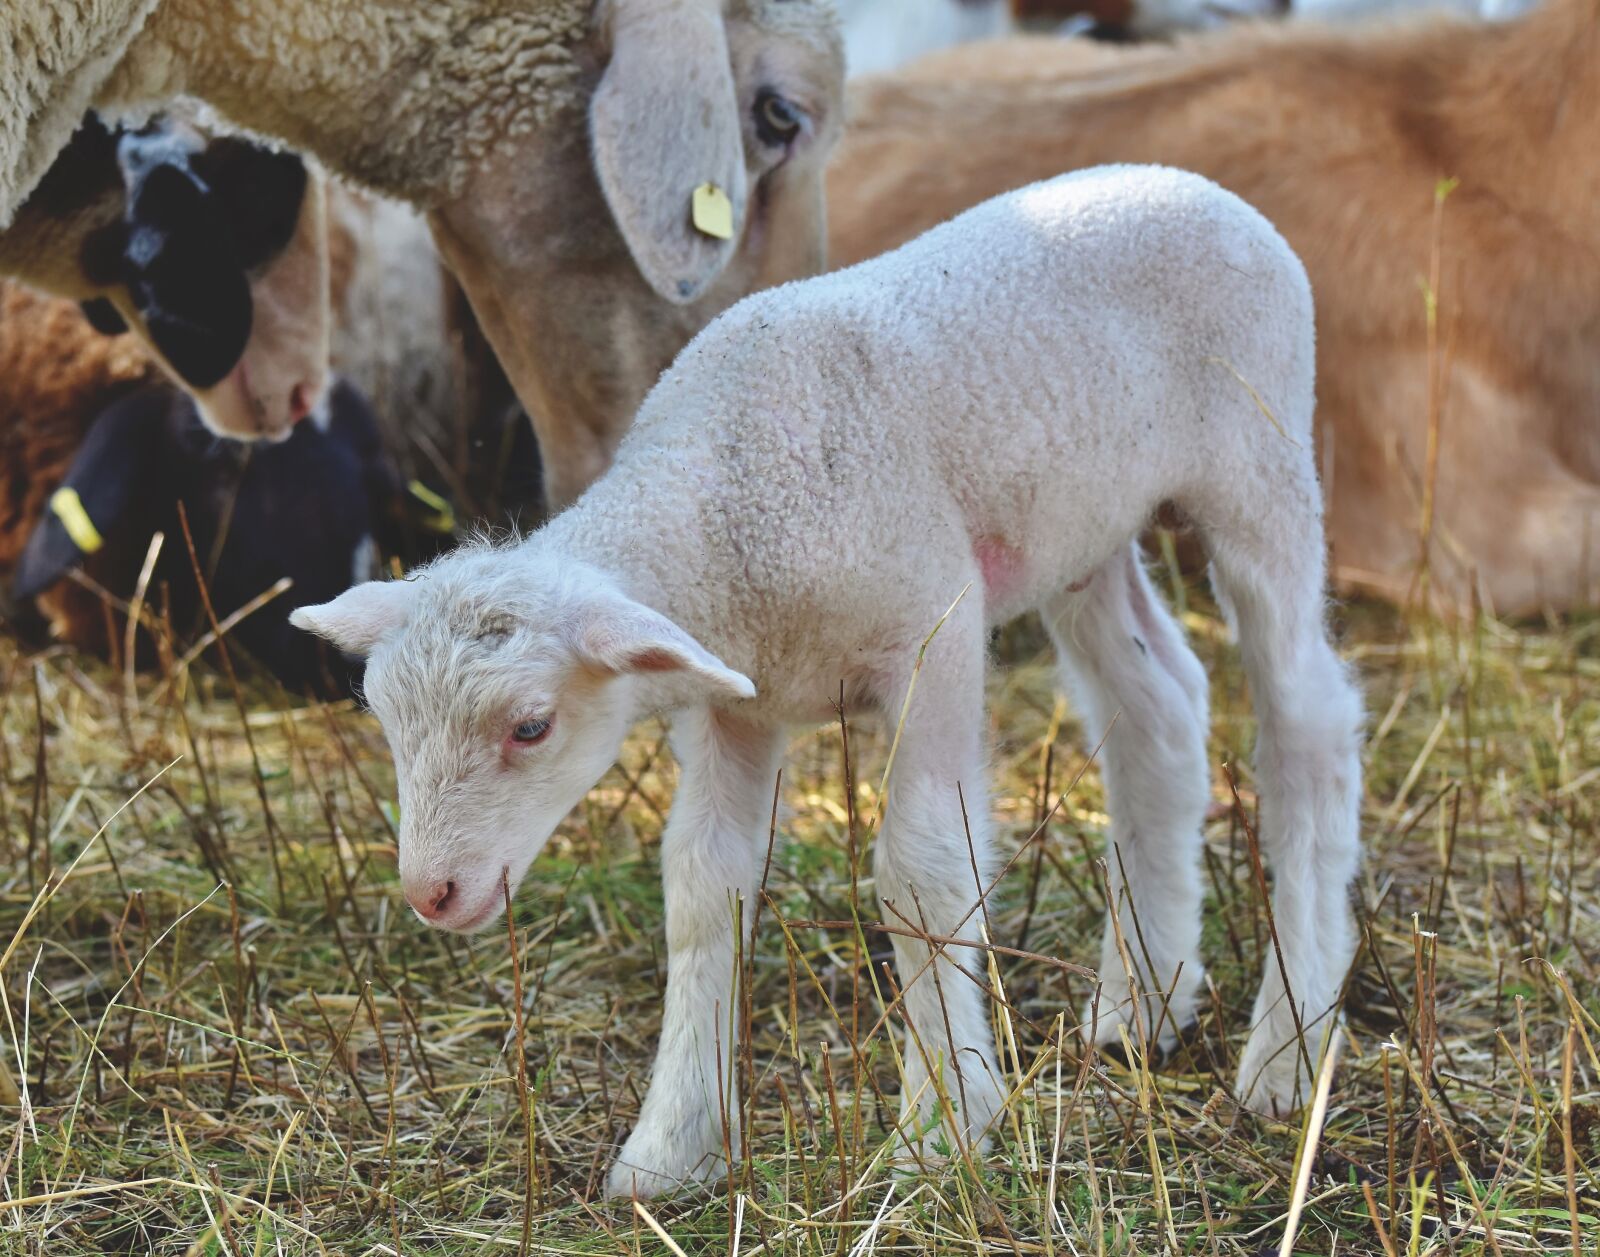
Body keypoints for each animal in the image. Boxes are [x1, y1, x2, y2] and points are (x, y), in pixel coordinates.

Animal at [293, 166, 1366, 1196]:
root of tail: (1192, 184)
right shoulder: (734, 703)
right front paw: (672, 1144)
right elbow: (702, 885)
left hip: (1260, 462)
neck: (724, 508)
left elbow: (922, 873)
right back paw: (1144, 997)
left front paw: (943, 1127)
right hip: (1078, 531)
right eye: (385, 721)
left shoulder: (934, 633)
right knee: (1158, 709)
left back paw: (1287, 1046)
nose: (432, 892)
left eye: (531, 727)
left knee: (1308, 718)